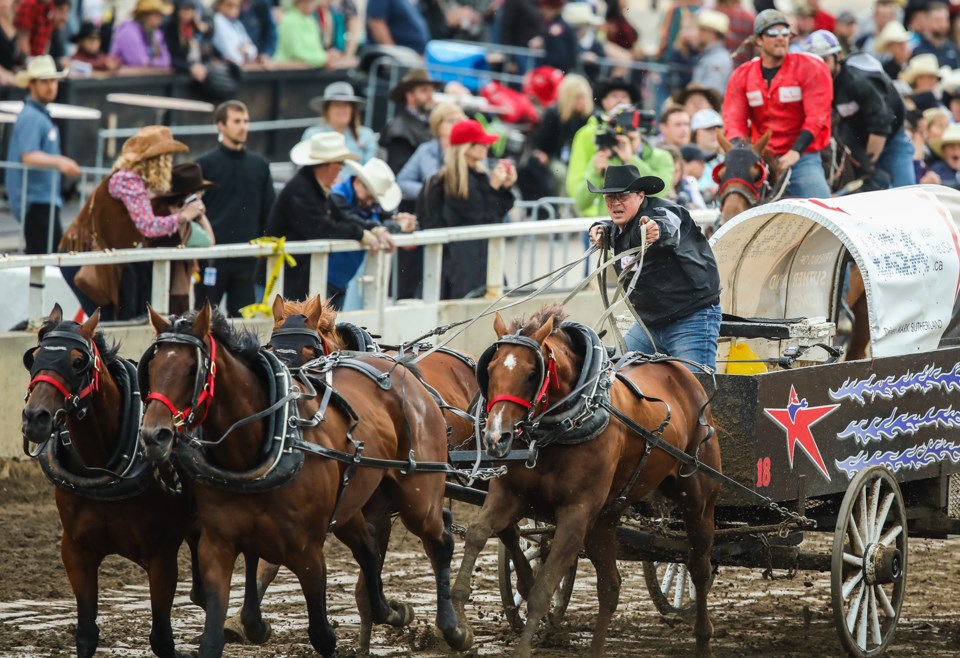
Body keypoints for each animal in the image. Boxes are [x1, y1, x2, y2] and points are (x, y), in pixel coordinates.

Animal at [20, 304, 196, 656]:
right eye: (35, 357)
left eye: (78, 362)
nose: (35, 418)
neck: (104, 468)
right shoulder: (76, 551)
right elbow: (87, 633)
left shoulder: (162, 555)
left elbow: (162, 638)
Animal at [140, 304, 472, 656]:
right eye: (152, 366)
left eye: (193, 369)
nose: (153, 435)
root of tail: (405, 372)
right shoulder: (218, 545)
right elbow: (218, 627)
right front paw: (242, 624)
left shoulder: (308, 550)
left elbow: (322, 634)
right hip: (354, 506)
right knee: (371, 547)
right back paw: (394, 612)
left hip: (417, 493)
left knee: (439, 540)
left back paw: (453, 628)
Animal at [450, 304, 720, 652]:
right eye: (491, 370)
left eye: (531, 373)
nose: (496, 437)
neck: (559, 430)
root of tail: (680, 372)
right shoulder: (509, 496)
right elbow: (477, 533)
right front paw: (459, 625)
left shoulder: (576, 515)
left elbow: (541, 592)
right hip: (605, 519)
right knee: (610, 587)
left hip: (698, 501)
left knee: (698, 567)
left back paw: (702, 638)